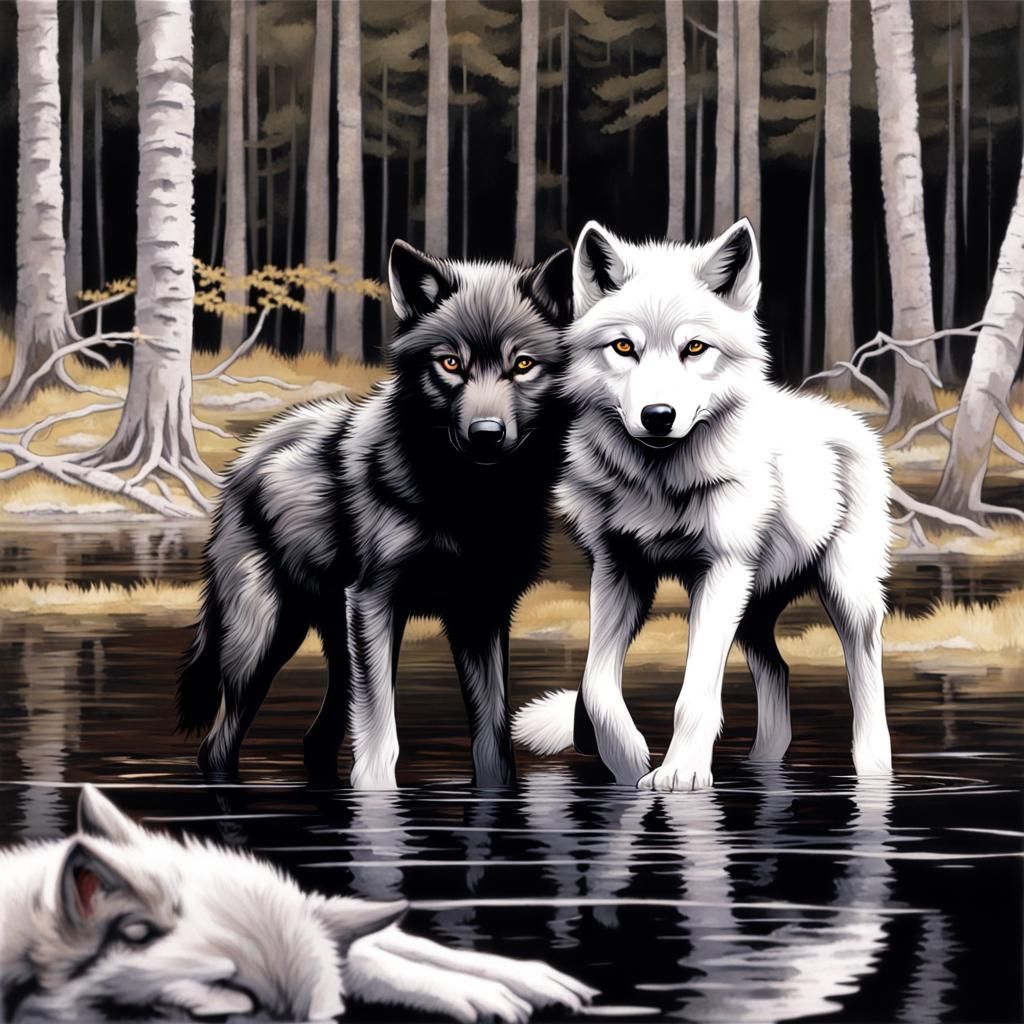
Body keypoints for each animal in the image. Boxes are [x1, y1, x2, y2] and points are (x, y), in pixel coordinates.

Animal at [177, 240, 573, 789]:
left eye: (523, 364)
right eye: (451, 362)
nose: (486, 435)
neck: (469, 502)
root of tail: (247, 456)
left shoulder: (482, 615)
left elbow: (494, 748)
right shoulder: (375, 604)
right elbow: (381, 740)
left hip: (336, 645)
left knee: (315, 739)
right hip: (268, 640)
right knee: (217, 746)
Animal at [512, 219, 893, 791]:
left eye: (694, 347)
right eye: (623, 346)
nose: (658, 415)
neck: (659, 482)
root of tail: (847, 419)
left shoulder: (721, 571)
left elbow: (693, 694)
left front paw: (681, 773)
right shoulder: (617, 570)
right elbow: (596, 688)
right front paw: (628, 761)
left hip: (844, 595)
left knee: (865, 669)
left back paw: (875, 771)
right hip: (754, 609)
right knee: (778, 671)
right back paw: (763, 765)